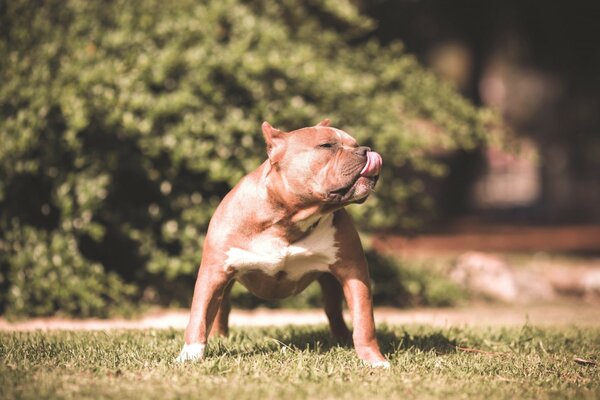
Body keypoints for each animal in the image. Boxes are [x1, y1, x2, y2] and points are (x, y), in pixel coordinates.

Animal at [176, 120, 390, 368]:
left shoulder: (354, 271)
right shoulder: (214, 272)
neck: (288, 219)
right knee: (221, 309)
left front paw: (373, 360)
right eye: (326, 145)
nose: (366, 150)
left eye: (355, 144)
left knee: (333, 310)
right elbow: (199, 316)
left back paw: (343, 339)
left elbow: (364, 321)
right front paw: (190, 355)